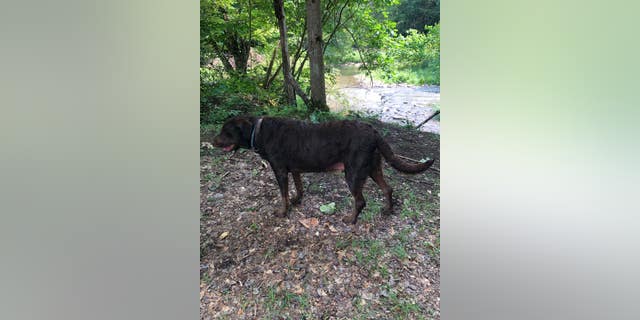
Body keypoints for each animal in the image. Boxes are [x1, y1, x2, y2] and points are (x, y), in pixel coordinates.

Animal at [212, 116, 438, 224]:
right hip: (373, 167)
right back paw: (388, 210)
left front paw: (283, 211)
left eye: (225, 131)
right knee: (388, 189)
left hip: (353, 172)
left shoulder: (280, 171)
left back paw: (351, 220)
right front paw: (297, 200)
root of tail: (374, 132)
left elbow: (283, 195)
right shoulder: (294, 169)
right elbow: (298, 187)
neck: (258, 131)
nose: (212, 141)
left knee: (360, 201)